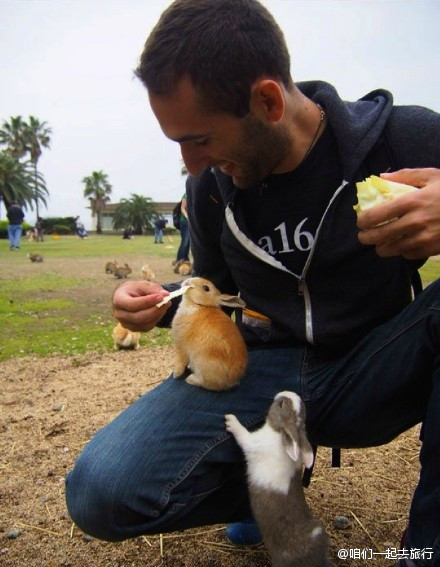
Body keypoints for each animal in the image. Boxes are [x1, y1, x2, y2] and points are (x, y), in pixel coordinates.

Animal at [225, 392, 332, 567]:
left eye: (281, 404)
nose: (285, 392)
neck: (277, 434)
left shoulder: (252, 443)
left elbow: (242, 434)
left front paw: (230, 420)